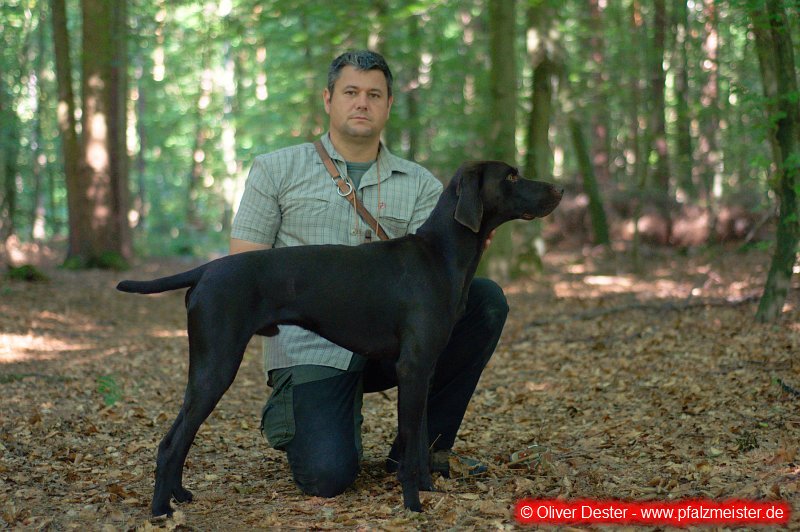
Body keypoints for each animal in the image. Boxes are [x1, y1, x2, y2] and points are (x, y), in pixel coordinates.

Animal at [117, 160, 562, 516]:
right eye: (511, 175)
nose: (560, 189)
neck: (440, 254)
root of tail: (206, 270)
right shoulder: (413, 368)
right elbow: (411, 447)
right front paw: (413, 505)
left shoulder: (425, 371)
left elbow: (419, 441)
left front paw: (428, 489)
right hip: (216, 366)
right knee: (171, 443)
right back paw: (160, 510)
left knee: (180, 438)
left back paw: (178, 495)